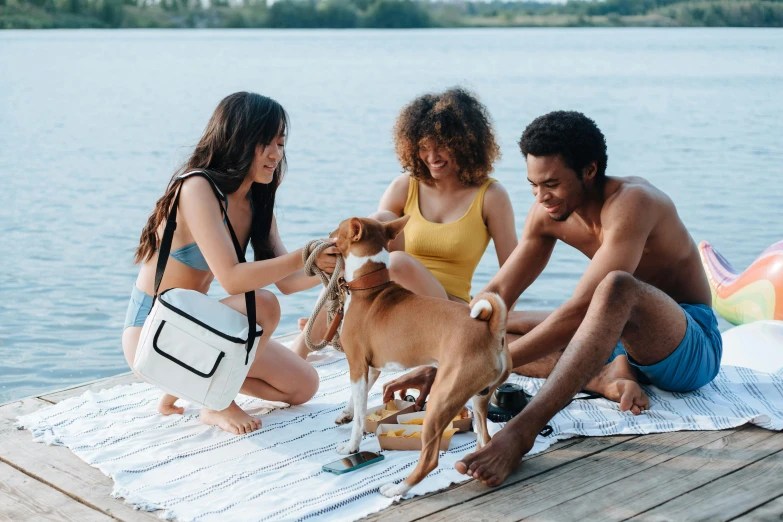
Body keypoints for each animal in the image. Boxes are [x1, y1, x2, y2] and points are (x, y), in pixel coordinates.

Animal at [332, 214, 512, 496]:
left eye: (338, 229)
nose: (328, 233)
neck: (369, 288)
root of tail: (492, 328)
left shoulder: (357, 364)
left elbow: (360, 418)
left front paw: (352, 446)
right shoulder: (370, 368)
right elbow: (355, 401)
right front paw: (345, 414)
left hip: (441, 400)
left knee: (430, 459)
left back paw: (397, 490)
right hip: (479, 397)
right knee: (485, 438)